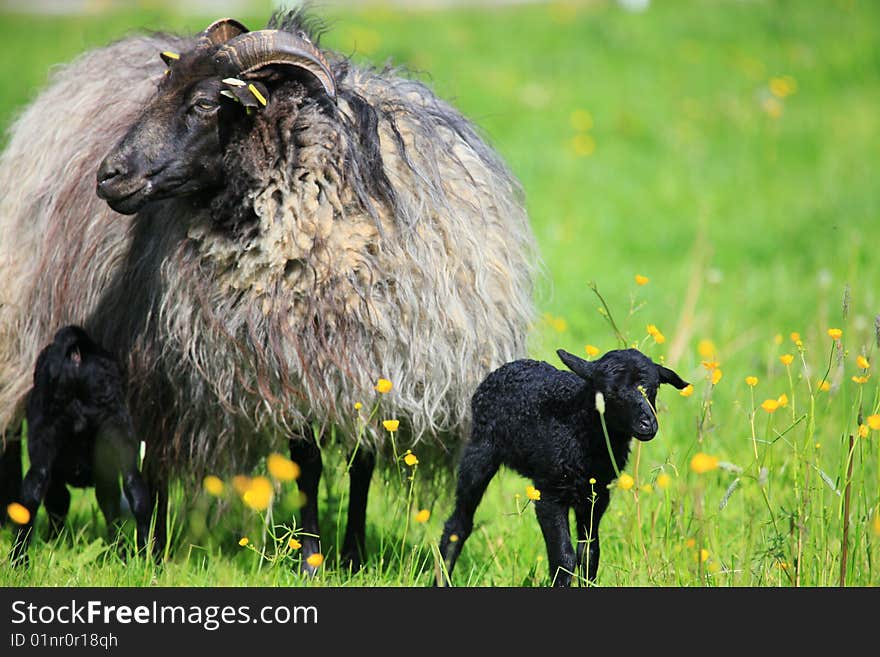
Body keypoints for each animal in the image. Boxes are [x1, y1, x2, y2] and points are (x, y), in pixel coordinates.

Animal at [10, 322, 150, 564]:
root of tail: (77, 354)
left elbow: (59, 503)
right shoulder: (105, 473)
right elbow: (110, 507)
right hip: (116, 429)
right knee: (136, 491)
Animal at [438, 346, 688, 588]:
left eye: (653, 388)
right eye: (609, 393)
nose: (647, 424)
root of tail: (508, 367)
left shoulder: (597, 495)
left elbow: (589, 552)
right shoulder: (549, 495)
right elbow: (563, 556)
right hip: (479, 453)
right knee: (458, 524)